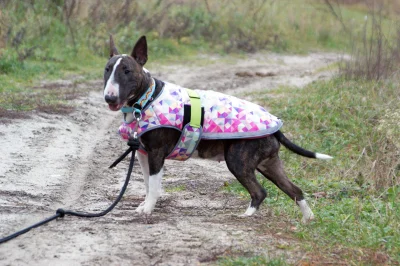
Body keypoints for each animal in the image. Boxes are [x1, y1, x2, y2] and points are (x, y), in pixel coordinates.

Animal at [103, 34, 332, 222]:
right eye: (107, 70)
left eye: (127, 71)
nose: (109, 97)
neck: (147, 98)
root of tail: (275, 125)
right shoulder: (144, 154)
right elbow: (148, 184)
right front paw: (145, 205)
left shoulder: (156, 154)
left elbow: (153, 186)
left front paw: (148, 209)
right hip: (269, 164)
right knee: (295, 190)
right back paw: (308, 219)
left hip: (238, 161)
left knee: (260, 192)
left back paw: (246, 215)